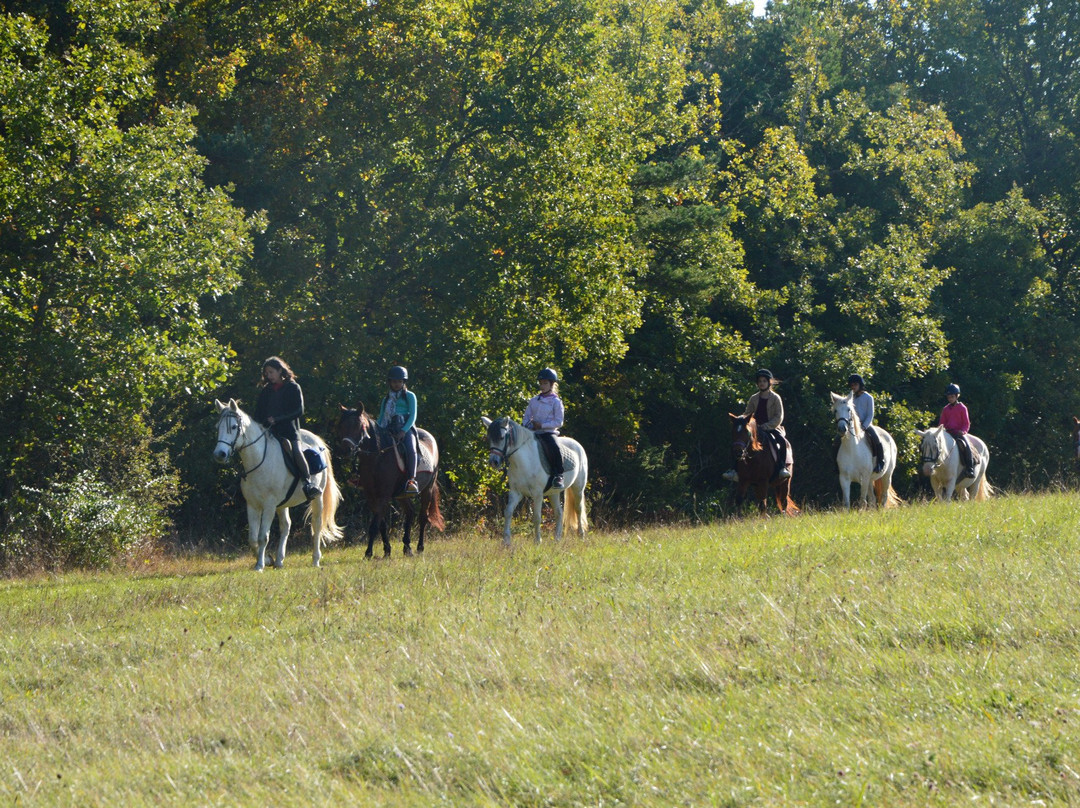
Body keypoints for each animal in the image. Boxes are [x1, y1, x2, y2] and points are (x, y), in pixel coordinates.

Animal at [212, 397, 343, 566]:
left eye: (234, 427)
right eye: (218, 427)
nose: (219, 454)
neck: (259, 460)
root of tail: (317, 441)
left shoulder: (269, 505)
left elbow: (263, 536)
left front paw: (260, 565)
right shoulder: (252, 505)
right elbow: (252, 538)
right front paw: (267, 559)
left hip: (317, 497)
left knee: (317, 524)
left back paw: (315, 560)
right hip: (283, 503)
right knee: (286, 525)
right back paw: (279, 560)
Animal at [332, 401, 442, 557]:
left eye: (358, 426)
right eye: (340, 426)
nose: (346, 450)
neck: (377, 457)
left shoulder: (383, 495)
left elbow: (374, 525)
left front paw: (368, 553)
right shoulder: (371, 495)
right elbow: (381, 524)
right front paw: (387, 550)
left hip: (428, 489)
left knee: (423, 517)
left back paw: (420, 547)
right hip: (402, 494)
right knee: (410, 512)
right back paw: (407, 547)